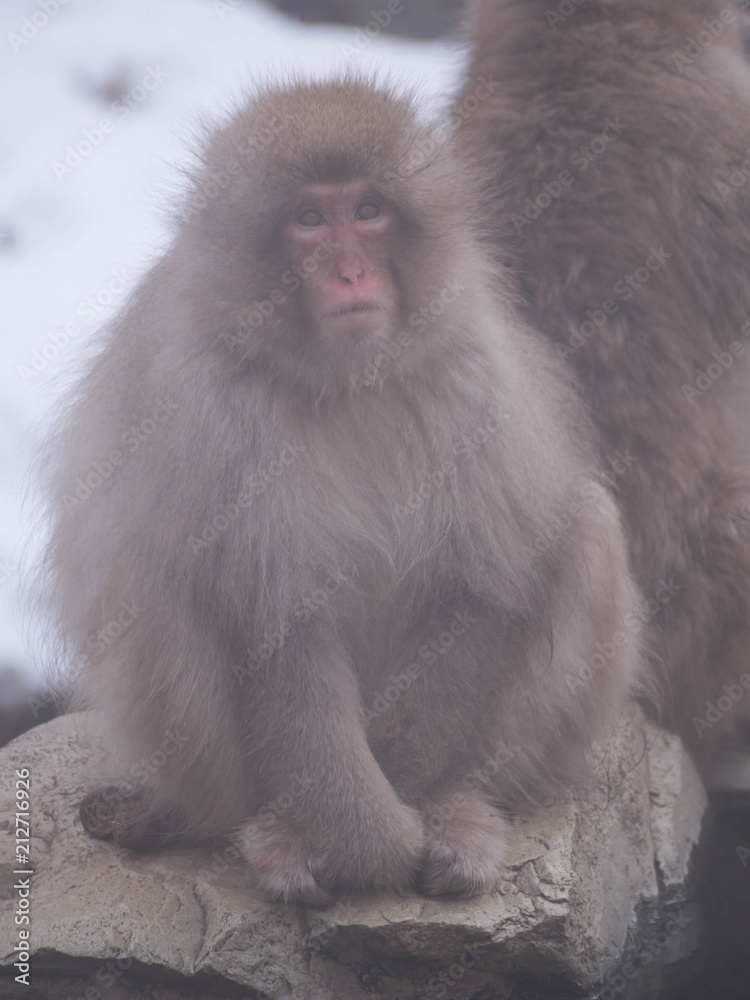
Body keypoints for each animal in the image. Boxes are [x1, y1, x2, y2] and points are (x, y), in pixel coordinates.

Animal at [46, 78, 642, 904]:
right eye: (307, 220)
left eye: (367, 210)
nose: (353, 273)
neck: (346, 379)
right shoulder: (211, 413)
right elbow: (269, 624)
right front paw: (370, 842)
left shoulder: (476, 377)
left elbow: (486, 585)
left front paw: (420, 812)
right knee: (153, 571)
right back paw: (272, 834)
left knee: (586, 526)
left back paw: (460, 805)